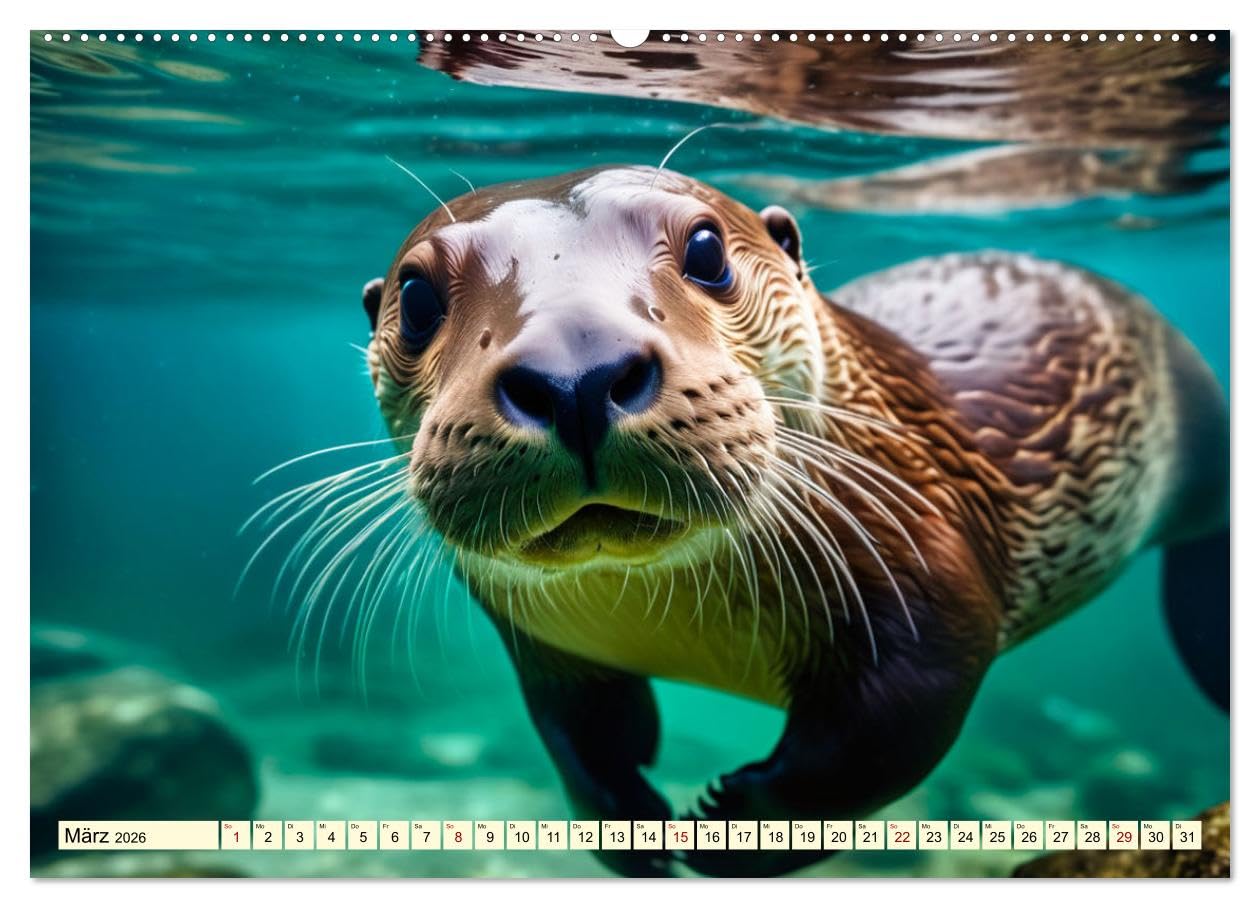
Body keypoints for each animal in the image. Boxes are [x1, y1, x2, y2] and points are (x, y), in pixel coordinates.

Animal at [359, 165, 1229, 876]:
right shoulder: (543, 646)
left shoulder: (928, 576)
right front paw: (634, 830)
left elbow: (884, 738)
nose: (577, 371)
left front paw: (730, 825)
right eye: (417, 299)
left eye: (707, 249)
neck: (686, 630)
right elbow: (576, 735)